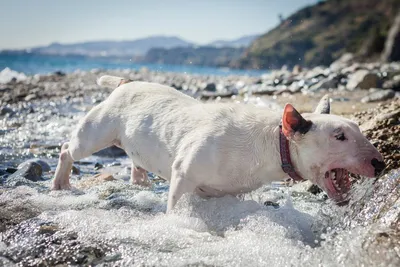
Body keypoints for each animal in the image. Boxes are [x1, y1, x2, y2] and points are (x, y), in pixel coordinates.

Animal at [52, 76, 384, 213]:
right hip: (96, 132)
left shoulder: (227, 190)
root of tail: (125, 83)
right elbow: (176, 205)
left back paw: (140, 180)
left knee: (135, 157)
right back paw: (60, 183)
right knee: (70, 149)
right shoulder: (184, 174)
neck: (270, 144)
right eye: (339, 136)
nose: (380, 164)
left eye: (358, 129)